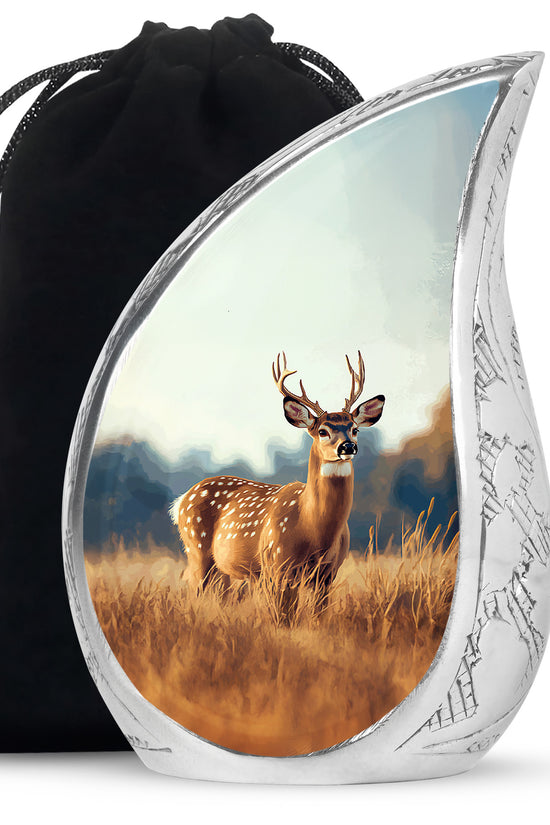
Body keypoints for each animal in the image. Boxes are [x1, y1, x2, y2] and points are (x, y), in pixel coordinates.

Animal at [170, 352, 385, 617]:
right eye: (322, 431)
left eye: (355, 429)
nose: (347, 446)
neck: (314, 530)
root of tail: (181, 501)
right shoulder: (277, 564)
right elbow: (283, 617)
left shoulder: (328, 573)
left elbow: (318, 615)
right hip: (196, 548)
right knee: (193, 592)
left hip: (222, 568)